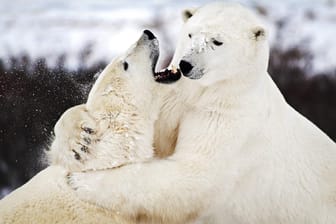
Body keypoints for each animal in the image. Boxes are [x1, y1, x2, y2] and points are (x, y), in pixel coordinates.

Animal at [65, 2, 336, 224]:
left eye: (217, 41)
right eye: (190, 34)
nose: (186, 64)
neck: (213, 90)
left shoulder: (230, 118)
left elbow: (193, 175)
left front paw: (80, 182)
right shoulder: (178, 96)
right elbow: (155, 129)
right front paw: (79, 138)